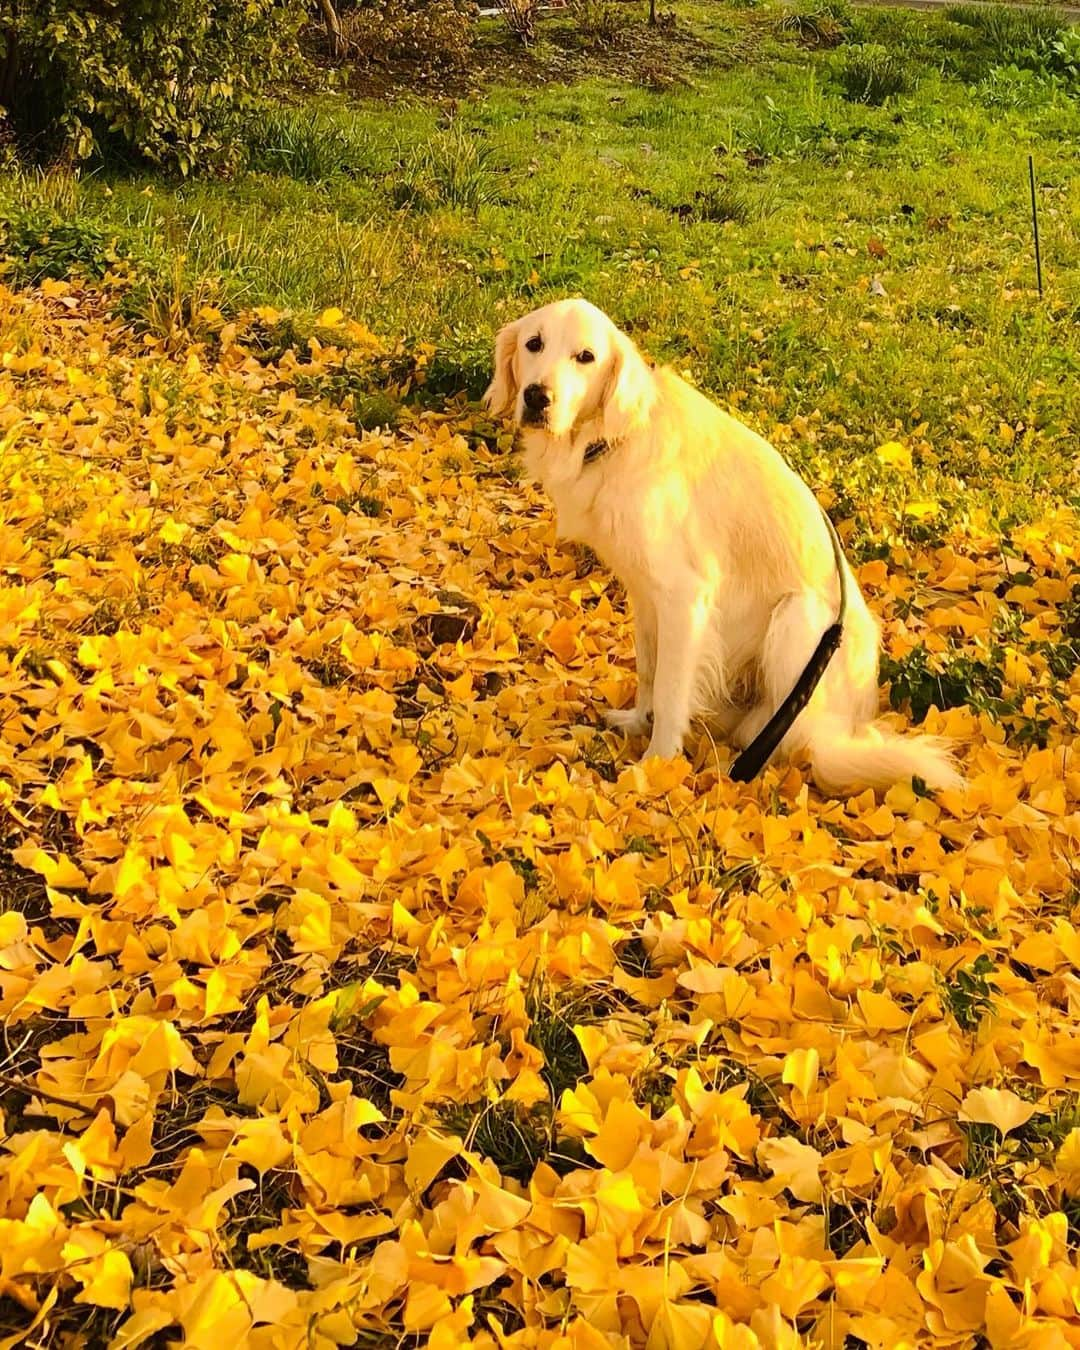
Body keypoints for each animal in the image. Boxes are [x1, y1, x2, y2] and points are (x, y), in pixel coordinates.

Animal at [486, 298, 955, 788]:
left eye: (585, 356)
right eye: (533, 344)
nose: (537, 397)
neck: (612, 440)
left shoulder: (685, 598)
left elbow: (671, 689)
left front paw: (657, 764)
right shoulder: (646, 596)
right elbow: (650, 669)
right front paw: (637, 722)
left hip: (800, 619)